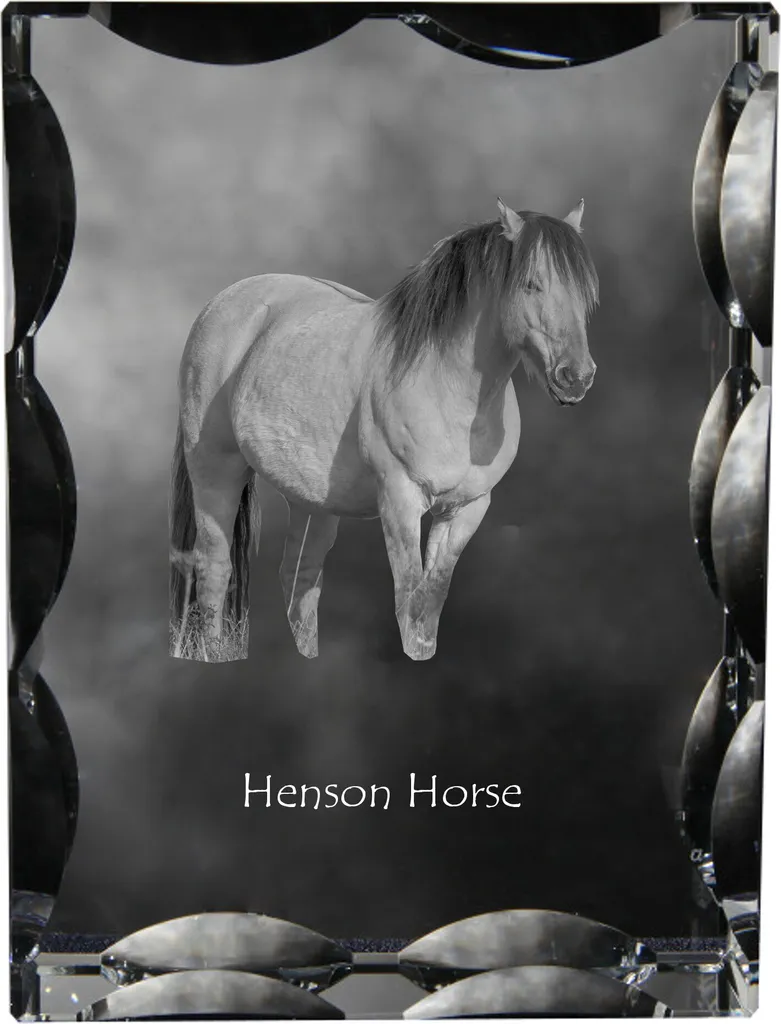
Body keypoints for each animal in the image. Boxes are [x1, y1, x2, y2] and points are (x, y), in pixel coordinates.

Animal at [169, 198, 599, 663]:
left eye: (584, 292)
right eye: (531, 284)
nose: (576, 377)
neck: (447, 383)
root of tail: (222, 303)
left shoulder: (467, 508)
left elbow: (429, 602)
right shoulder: (401, 499)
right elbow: (408, 601)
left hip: (311, 502)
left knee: (300, 581)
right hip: (216, 471)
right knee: (215, 566)